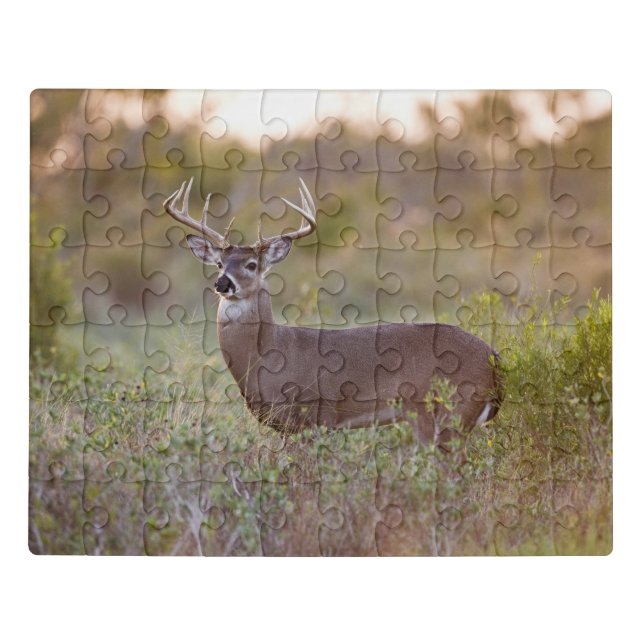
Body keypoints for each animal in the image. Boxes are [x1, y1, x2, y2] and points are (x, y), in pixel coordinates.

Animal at [164, 177, 503, 446]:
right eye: (219, 263)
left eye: (251, 264)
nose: (223, 283)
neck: (268, 355)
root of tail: (494, 359)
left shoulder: (315, 417)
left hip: (446, 412)